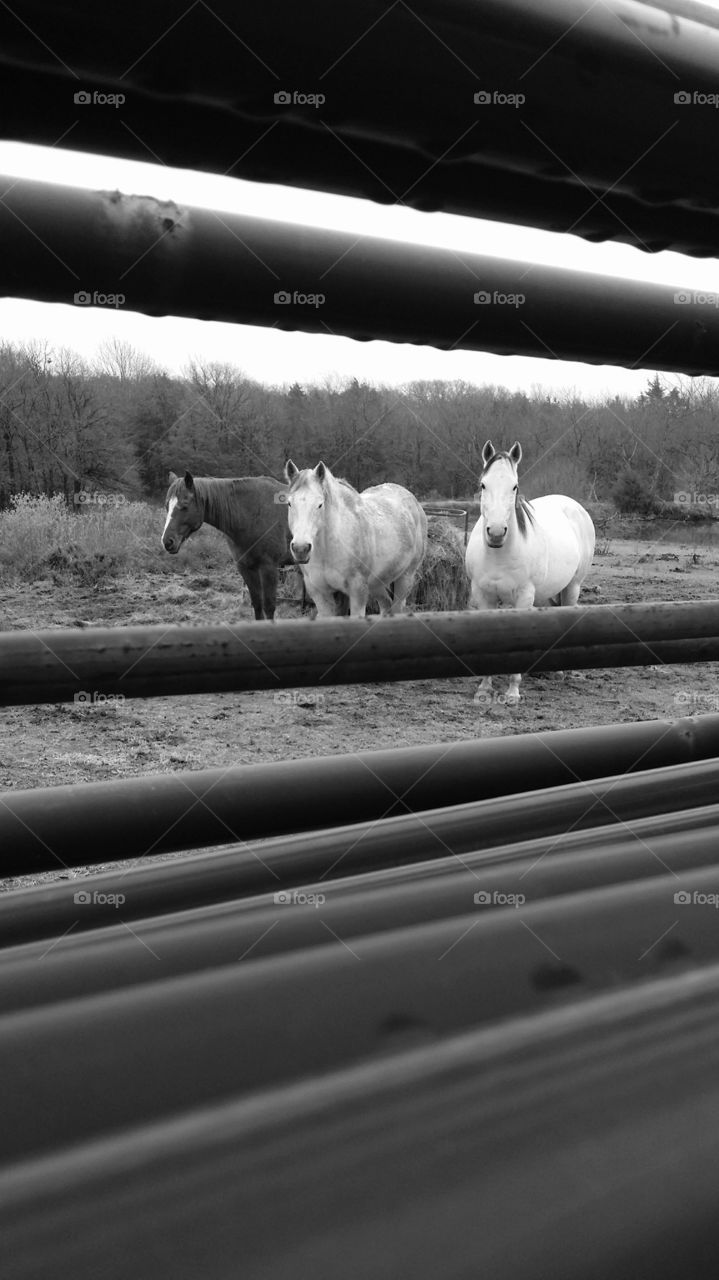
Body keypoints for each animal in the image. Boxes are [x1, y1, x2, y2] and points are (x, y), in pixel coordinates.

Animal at [161, 471, 293, 620]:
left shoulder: (269, 567)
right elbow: (257, 605)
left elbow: (269, 607)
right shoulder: (246, 567)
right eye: (167, 506)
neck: (252, 513)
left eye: (185, 505)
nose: (167, 541)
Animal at [284, 460, 427, 617]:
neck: (328, 549)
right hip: (377, 583)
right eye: (289, 503)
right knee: (386, 605)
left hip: (406, 577)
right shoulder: (320, 594)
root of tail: (413, 501)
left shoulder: (358, 591)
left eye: (320, 504)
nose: (301, 549)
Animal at [465, 440, 595, 704]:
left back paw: (560, 672)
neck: (499, 554)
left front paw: (513, 691)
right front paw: (484, 688)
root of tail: (574, 506)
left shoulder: (524, 597)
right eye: (483, 484)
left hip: (572, 587)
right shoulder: (483, 596)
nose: (496, 532)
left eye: (514, 486)